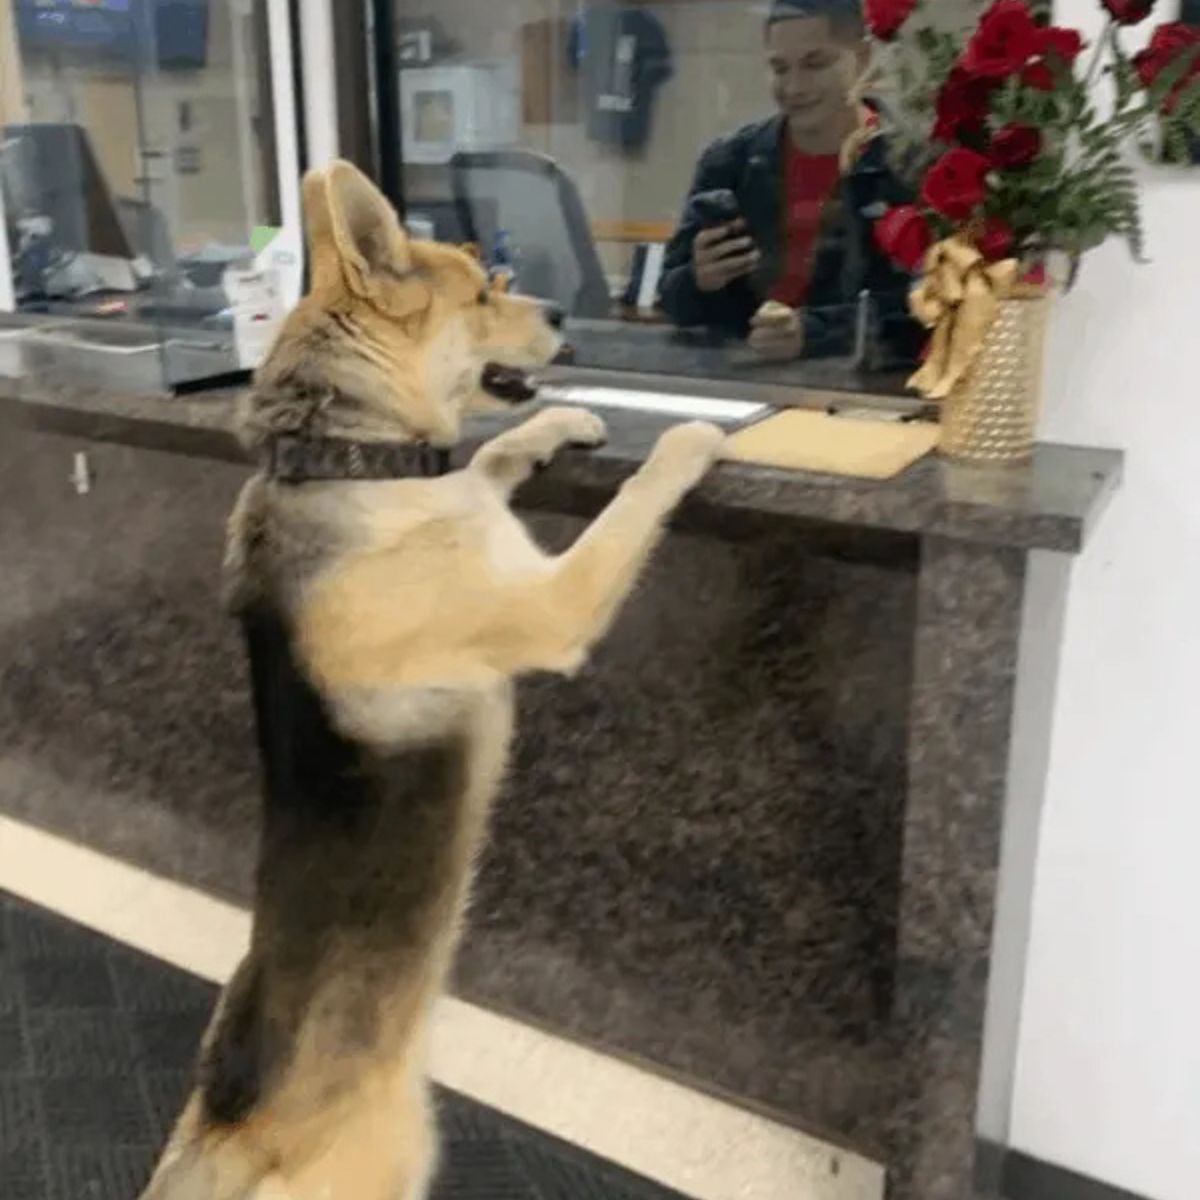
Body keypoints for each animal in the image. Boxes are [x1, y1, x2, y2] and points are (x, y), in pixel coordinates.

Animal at [137, 159, 724, 1200]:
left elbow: (490, 454)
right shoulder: (554, 604)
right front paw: (684, 445)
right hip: (396, 1156)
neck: (342, 462)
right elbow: (628, 505)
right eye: (485, 292)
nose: (564, 314)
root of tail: (229, 1126)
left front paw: (561, 421)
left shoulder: (472, 493)